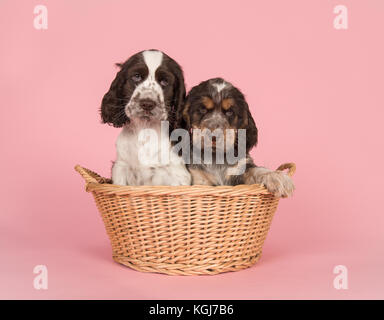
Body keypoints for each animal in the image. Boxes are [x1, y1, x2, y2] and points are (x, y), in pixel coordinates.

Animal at [100, 48, 192, 186]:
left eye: (164, 81)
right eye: (136, 76)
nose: (147, 103)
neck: (146, 128)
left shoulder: (178, 174)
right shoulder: (121, 167)